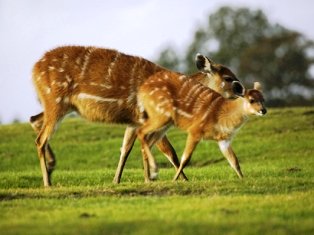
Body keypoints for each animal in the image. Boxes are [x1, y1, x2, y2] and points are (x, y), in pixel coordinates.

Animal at [30, 45, 244, 185]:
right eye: (228, 78)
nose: (242, 90)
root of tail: (34, 69)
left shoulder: (134, 121)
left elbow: (125, 148)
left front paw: (117, 180)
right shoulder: (148, 116)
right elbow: (170, 152)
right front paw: (177, 179)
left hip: (61, 105)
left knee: (35, 120)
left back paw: (51, 166)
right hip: (56, 101)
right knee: (41, 138)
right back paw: (47, 182)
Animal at [137, 70, 268, 182]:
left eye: (263, 99)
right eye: (251, 100)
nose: (263, 110)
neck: (221, 116)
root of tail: (141, 91)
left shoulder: (223, 140)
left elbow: (234, 161)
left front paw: (242, 178)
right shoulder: (195, 131)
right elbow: (185, 159)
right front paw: (175, 180)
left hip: (163, 125)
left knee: (148, 142)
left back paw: (148, 178)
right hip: (161, 117)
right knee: (141, 131)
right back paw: (153, 173)